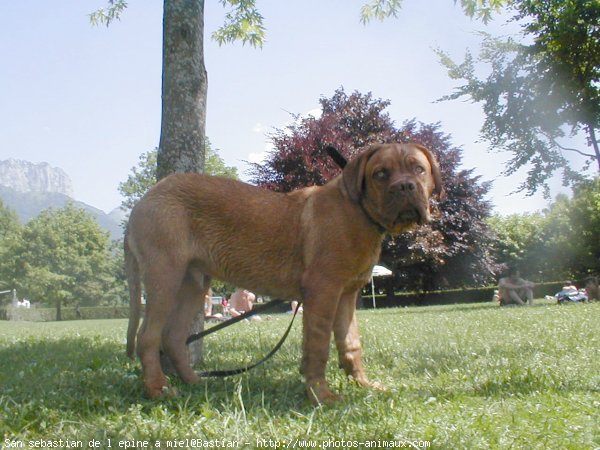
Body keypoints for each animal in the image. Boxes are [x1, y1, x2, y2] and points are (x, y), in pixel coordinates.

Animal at [124, 144, 442, 404]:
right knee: (148, 337)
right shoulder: (323, 290)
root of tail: (145, 199)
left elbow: (351, 344)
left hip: (192, 283)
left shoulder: (347, 295)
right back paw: (158, 389)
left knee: (174, 337)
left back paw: (194, 382)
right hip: (165, 276)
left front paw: (363, 385)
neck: (360, 212)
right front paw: (321, 396)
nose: (406, 187)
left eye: (418, 169)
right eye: (380, 174)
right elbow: (318, 347)